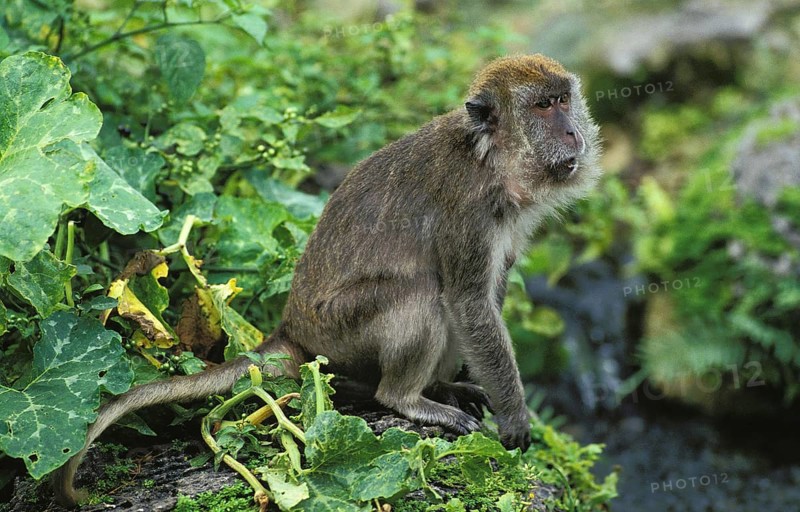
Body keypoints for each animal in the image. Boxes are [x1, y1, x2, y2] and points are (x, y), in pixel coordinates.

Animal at [53, 54, 601, 506]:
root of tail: (292, 329)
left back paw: (438, 386)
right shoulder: (467, 209)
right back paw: (405, 399)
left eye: (564, 100)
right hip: (340, 331)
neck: (488, 155)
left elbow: (489, 293)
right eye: (543, 106)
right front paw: (515, 416)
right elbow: (469, 303)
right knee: (421, 296)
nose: (573, 134)